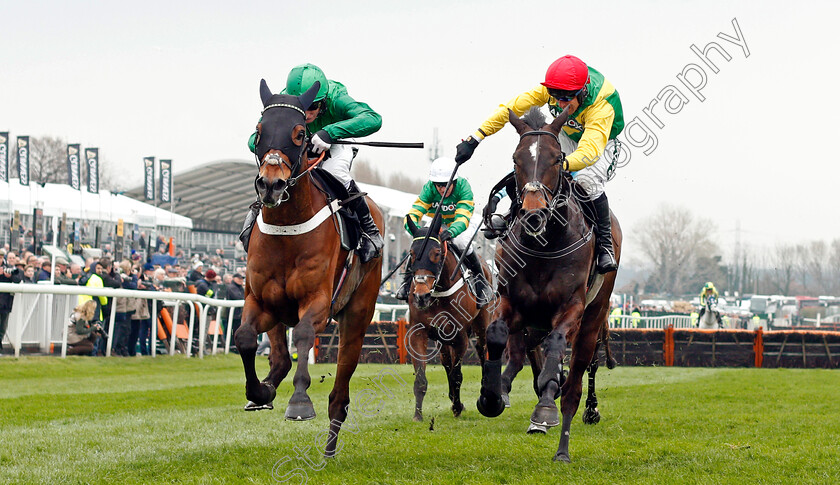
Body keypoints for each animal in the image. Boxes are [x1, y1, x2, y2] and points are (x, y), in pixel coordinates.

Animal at [233, 79, 384, 458]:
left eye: (300, 133)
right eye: (259, 131)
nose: (270, 184)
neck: (288, 227)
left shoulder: (318, 301)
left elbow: (303, 334)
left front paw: (299, 401)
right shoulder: (260, 299)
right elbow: (244, 338)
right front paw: (260, 392)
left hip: (357, 315)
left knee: (339, 395)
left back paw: (329, 448)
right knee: (280, 358)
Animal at [402, 216, 488, 420]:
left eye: (436, 253)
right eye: (412, 254)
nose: (421, 296)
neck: (439, 292)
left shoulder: (460, 336)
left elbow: (457, 375)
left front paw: (457, 407)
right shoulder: (418, 332)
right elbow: (421, 377)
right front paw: (418, 415)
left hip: (482, 323)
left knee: (482, 351)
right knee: (446, 362)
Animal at [476, 107, 620, 462]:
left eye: (557, 159)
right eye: (516, 158)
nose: (533, 214)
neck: (544, 245)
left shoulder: (572, 307)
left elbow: (556, 349)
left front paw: (544, 408)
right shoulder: (511, 303)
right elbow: (496, 335)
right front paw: (491, 397)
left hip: (594, 317)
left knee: (576, 383)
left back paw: (563, 444)